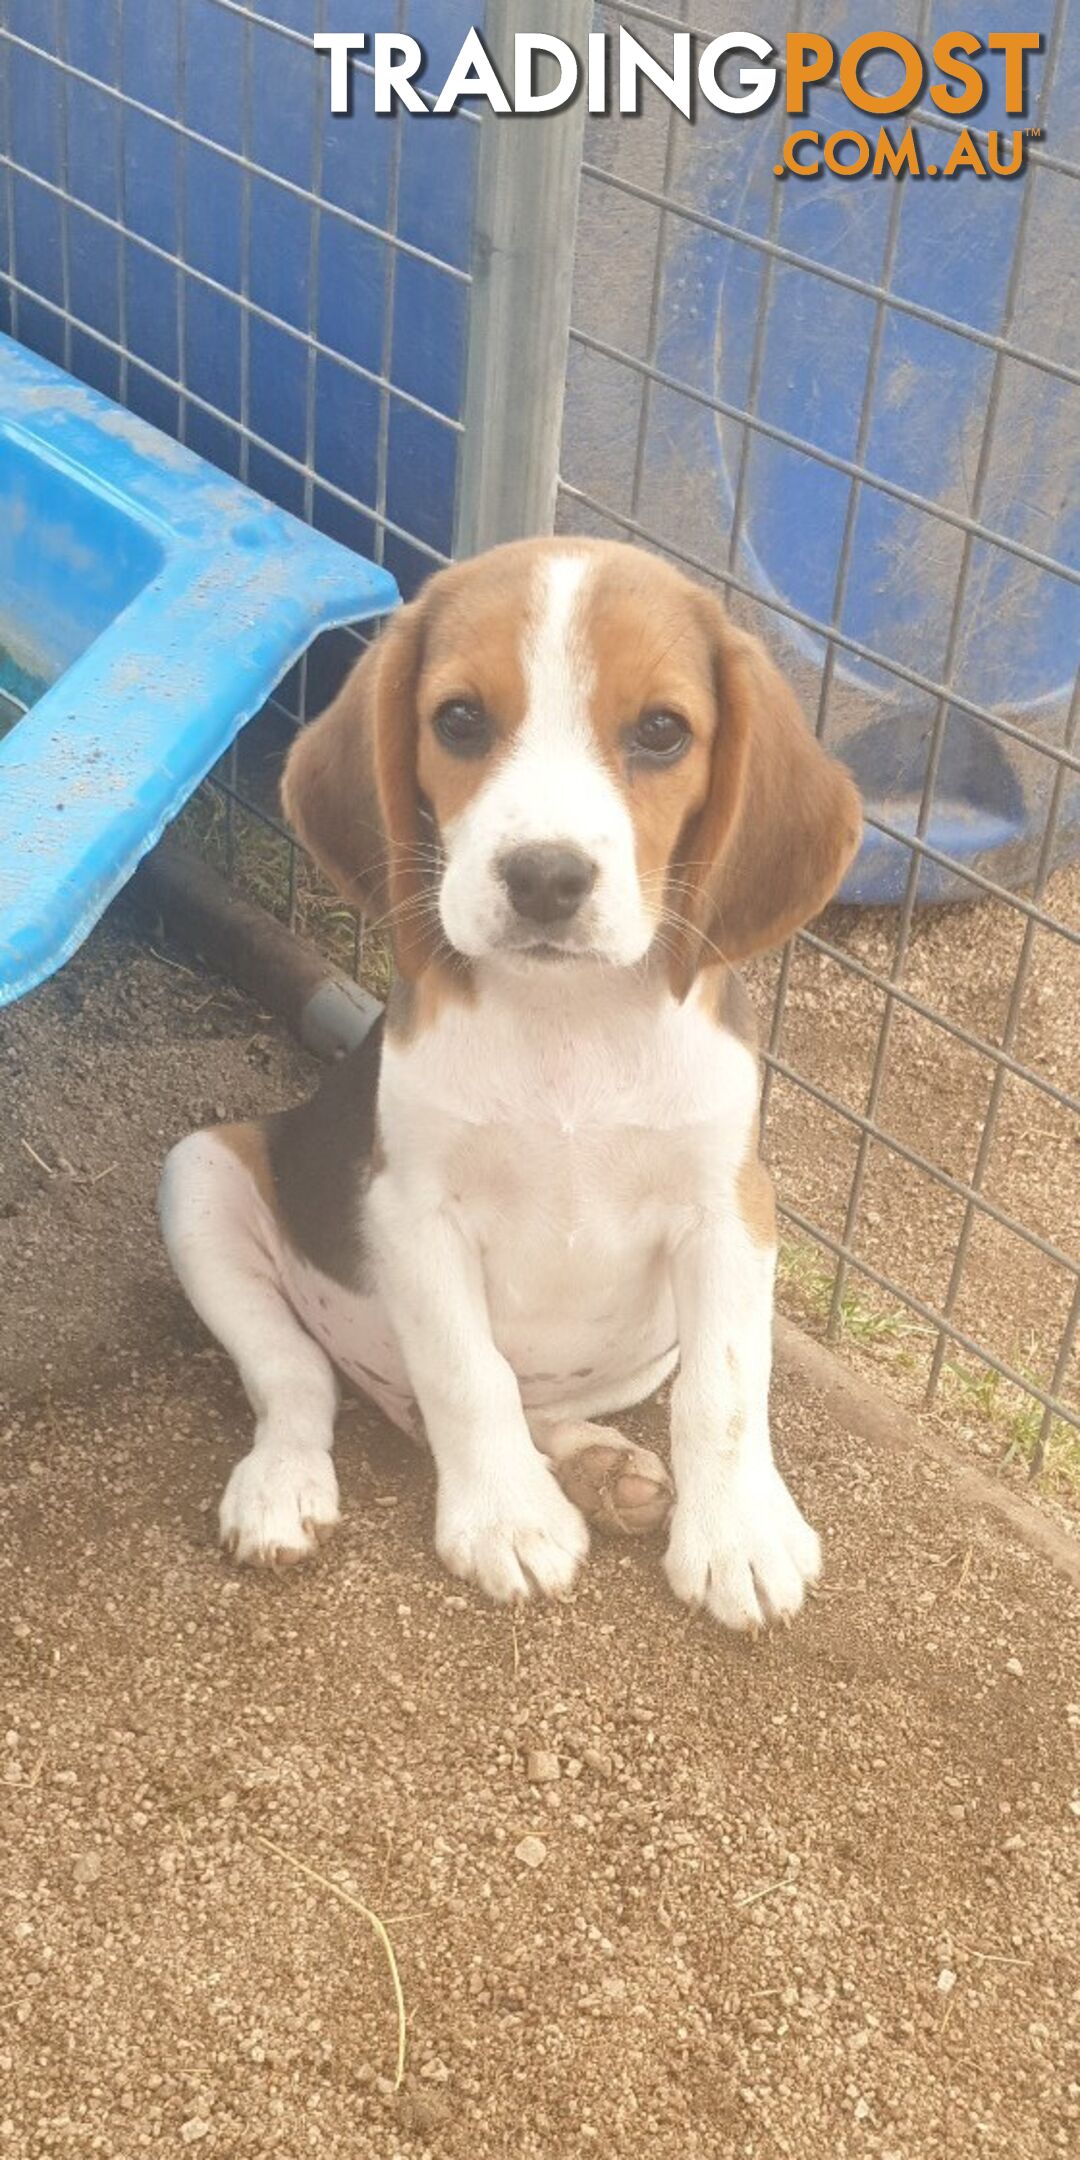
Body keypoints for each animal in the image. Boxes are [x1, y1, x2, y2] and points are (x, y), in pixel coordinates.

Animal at [159, 531, 855, 1624]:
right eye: (459, 720)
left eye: (663, 732)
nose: (544, 876)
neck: (567, 1018)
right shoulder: (412, 1211)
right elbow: (466, 1372)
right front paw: (507, 1520)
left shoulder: (731, 1210)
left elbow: (727, 1391)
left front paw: (736, 1535)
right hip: (199, 1175)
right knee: (300, 1377)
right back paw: (287, 1484)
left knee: (545, 1405)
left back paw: (599, 1468)